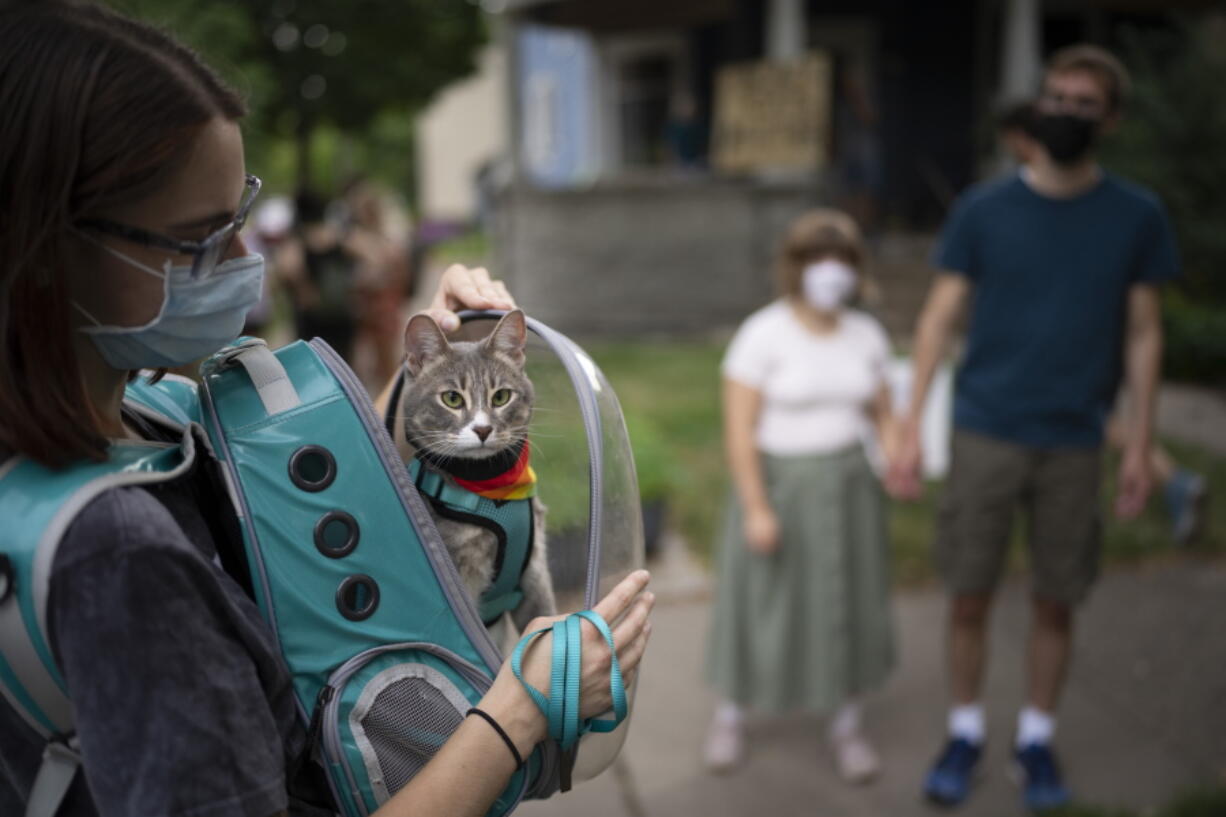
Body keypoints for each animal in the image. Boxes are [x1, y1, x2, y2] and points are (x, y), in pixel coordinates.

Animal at [392, 309, 556, 632]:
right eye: (452, 399)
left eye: (501, 397)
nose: (482, 429)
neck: (493, 490)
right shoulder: (460, 576)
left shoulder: (535, 569)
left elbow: (544, 618)